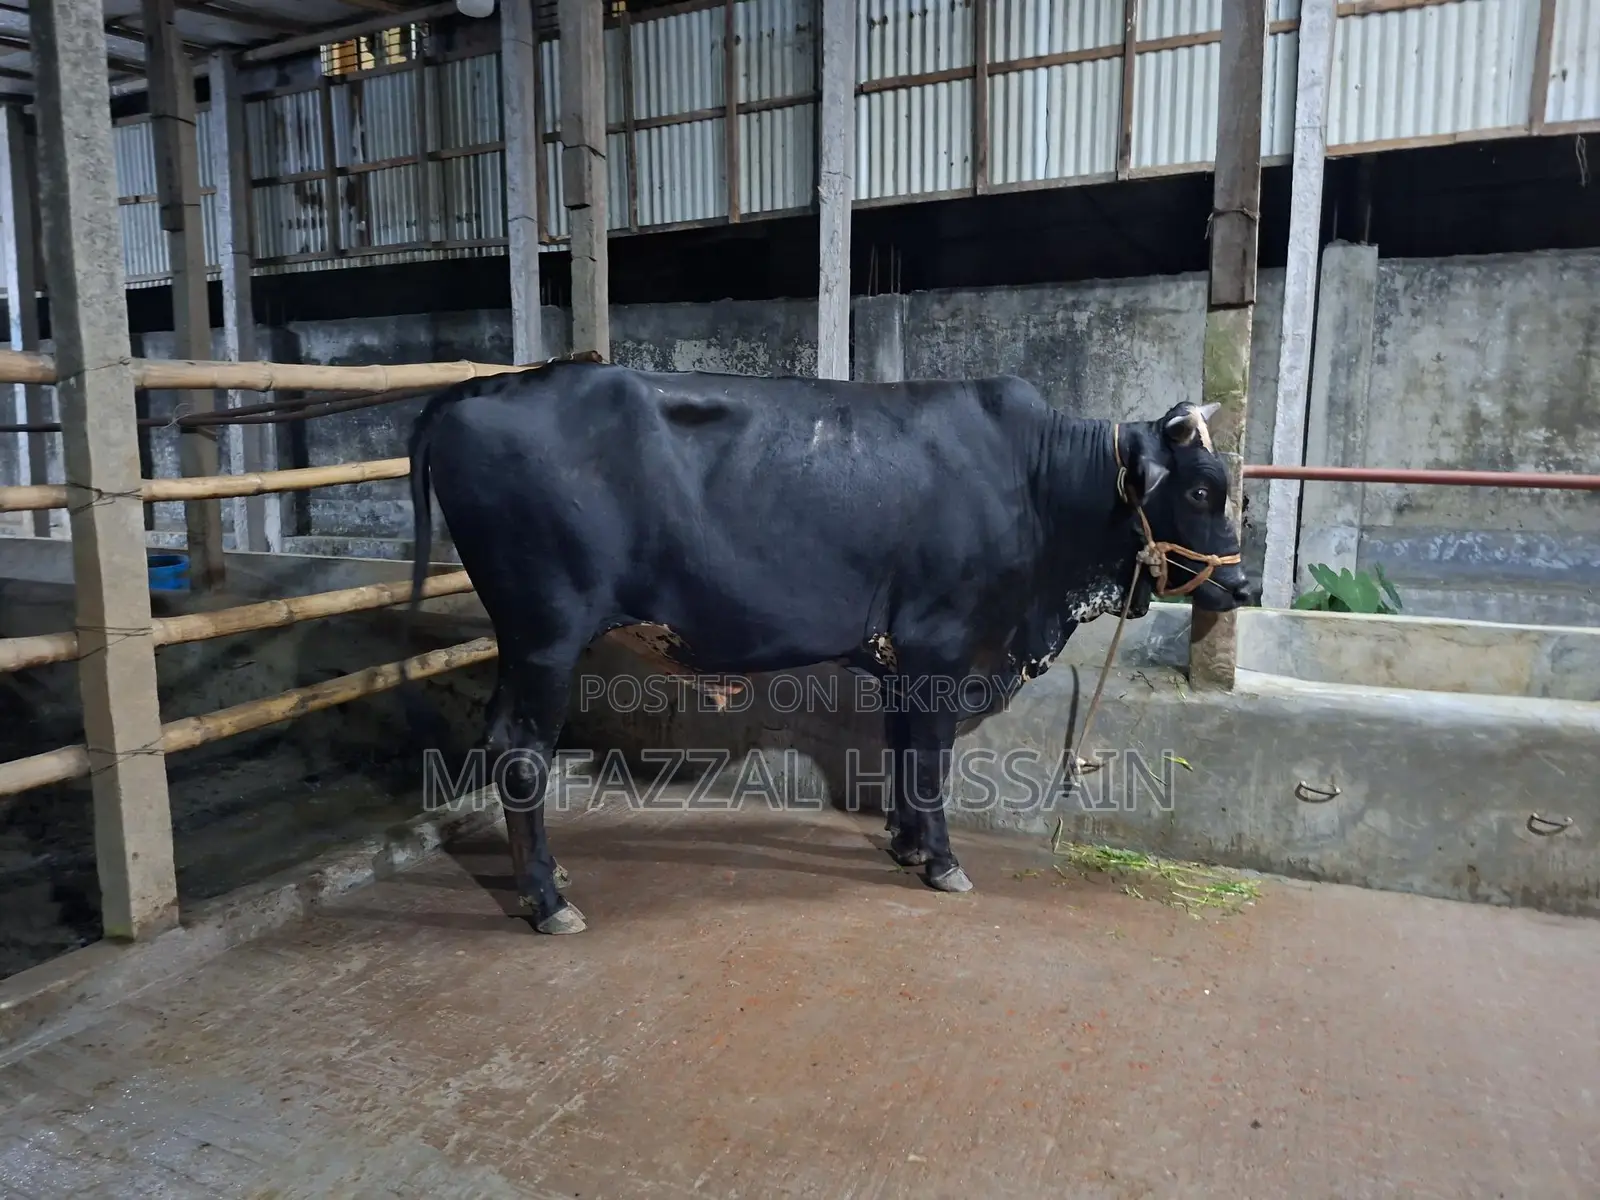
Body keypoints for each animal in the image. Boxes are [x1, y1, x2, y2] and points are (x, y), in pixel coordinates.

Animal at [405, 358, 1257, 934]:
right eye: (1199, 490)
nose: (1244, 587)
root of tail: (474, 391)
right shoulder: (941, 644)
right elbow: (931, 758)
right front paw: (942, 860)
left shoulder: (902, 661)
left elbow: (903, 748)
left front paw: (907, 845)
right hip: (547, 636)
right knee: (522, 748)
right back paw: (549, 901)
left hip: (521, 642)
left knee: (501, 740)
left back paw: (540, 877)